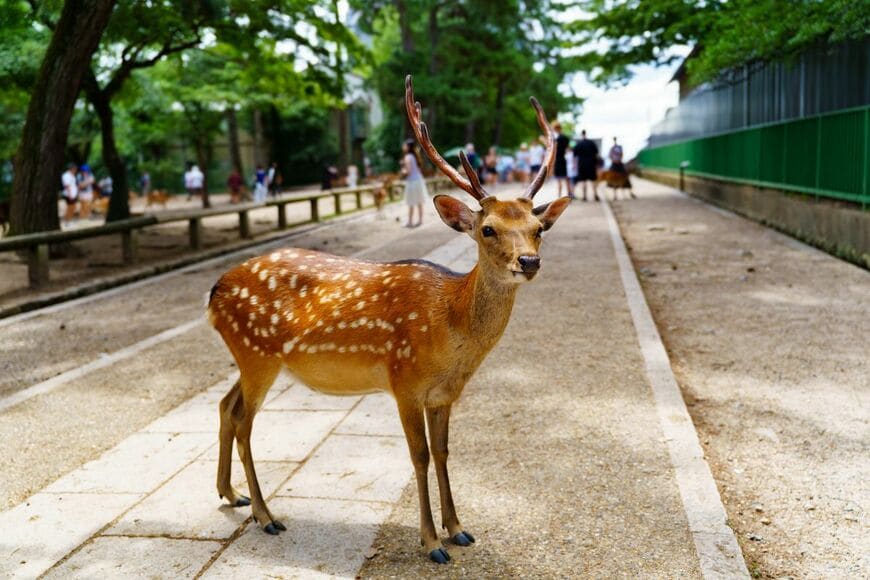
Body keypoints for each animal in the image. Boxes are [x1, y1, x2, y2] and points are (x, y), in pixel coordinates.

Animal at [206, 75, 570, 565]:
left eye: (538, 228)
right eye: (488, 228)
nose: (529, 262)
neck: (452, 334)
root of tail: (214, 292)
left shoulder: (444, 393)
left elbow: (444, 452)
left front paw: (459, 529)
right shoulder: (405, 380)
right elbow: (418, 456)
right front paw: (432, 543)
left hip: (251, 357)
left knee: (227, 406)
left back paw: (230, 494)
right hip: (256, 353)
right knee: (245, 421)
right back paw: (266, 516)